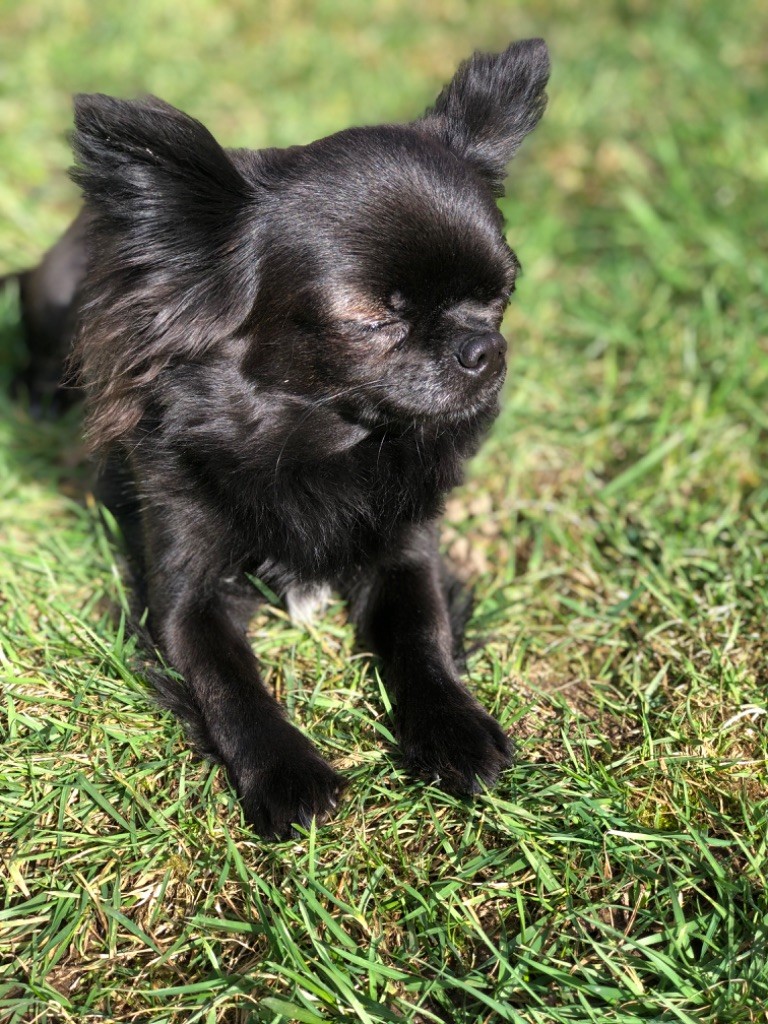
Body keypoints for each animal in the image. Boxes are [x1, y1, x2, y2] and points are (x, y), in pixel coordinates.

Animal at [15, 41, 548, 839]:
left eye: (502, 295)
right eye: (371, 319)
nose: (483, 348)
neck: (317, 444)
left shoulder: (406, 555)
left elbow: (421, 639)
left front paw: (452, 729)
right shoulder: (185, 597)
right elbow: (227, 680)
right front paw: (287, 774)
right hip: (54, 300)